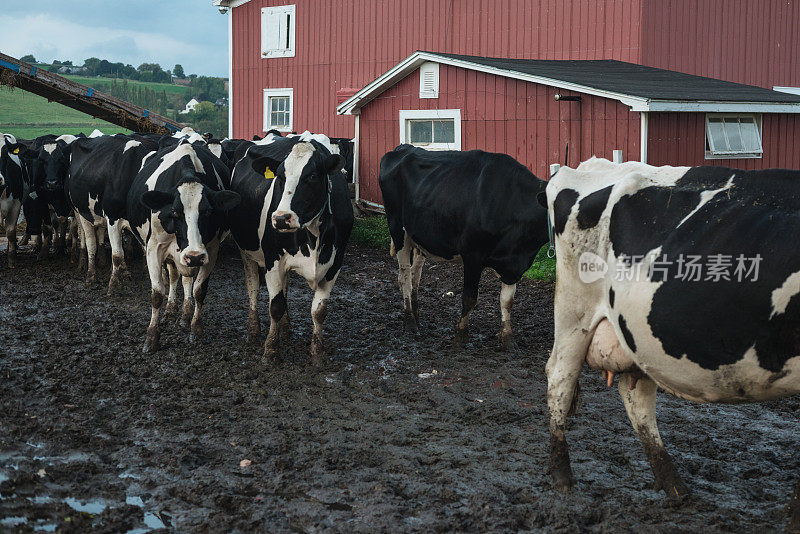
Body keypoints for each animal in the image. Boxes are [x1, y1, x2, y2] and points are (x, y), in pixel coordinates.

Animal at [66, 134, 160, 294]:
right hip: (80, 212)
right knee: (89, 242)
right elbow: (116, 255)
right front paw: (113, 285)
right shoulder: (112, 219)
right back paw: (89, 273)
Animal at [127, 141, 238, 356]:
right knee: (172, 276)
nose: (193, 256)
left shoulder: (210, 250)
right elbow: (157, 293)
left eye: (208, 212)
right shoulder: (153, 248)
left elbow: (199, 290)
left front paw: (196, 329)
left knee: (186, 279)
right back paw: (170, 310)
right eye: (175, 212)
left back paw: (185, 315)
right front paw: (151, 337)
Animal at [225, 136, 350, 366]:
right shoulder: (273, 260)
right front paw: (270, 350)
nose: (282, 218)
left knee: (284, 290)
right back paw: (253, 331)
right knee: (253, 287)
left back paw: (286, 329)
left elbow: (319, 311)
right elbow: (275, 306)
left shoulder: (335, 264)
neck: (313, 235)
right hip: (246, 251)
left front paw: (317, 353)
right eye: (280, 176)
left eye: (311, 176)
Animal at [378, 144, 548, 350]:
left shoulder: (513, 264)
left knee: (415, 275)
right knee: (404, 277)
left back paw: (417, 317)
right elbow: (469, 298)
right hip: (398, 230)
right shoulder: (473, 255)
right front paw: (461, 335)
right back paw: (410, 323)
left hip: (419, 236)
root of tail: (404, 147)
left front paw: (508, 337)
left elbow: (507, 301)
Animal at [540, 157, 800, 528]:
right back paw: (563, 479)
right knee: (560, 381)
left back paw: (674, 486)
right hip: (574, 313)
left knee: (636, 398)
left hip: (636, 335)